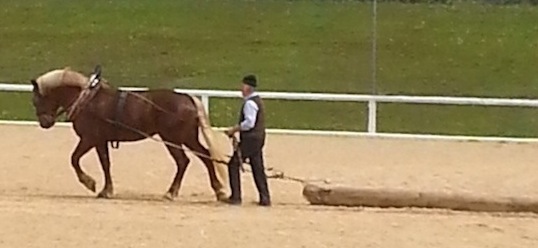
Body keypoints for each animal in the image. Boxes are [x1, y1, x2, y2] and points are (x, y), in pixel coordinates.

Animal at [29, 66, 228, 202]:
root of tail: (188, 98)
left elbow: (74, 159)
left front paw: (90, 183)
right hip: (187, 138)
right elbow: (105, 164)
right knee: (205, 157)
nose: (45, 123)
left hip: (173, 138)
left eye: (36, 100)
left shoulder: (90, 139)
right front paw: (106, 190)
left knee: (183, 161)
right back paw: (218, 190)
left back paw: (171, 193)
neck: (87, 101)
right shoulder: (101, 141)